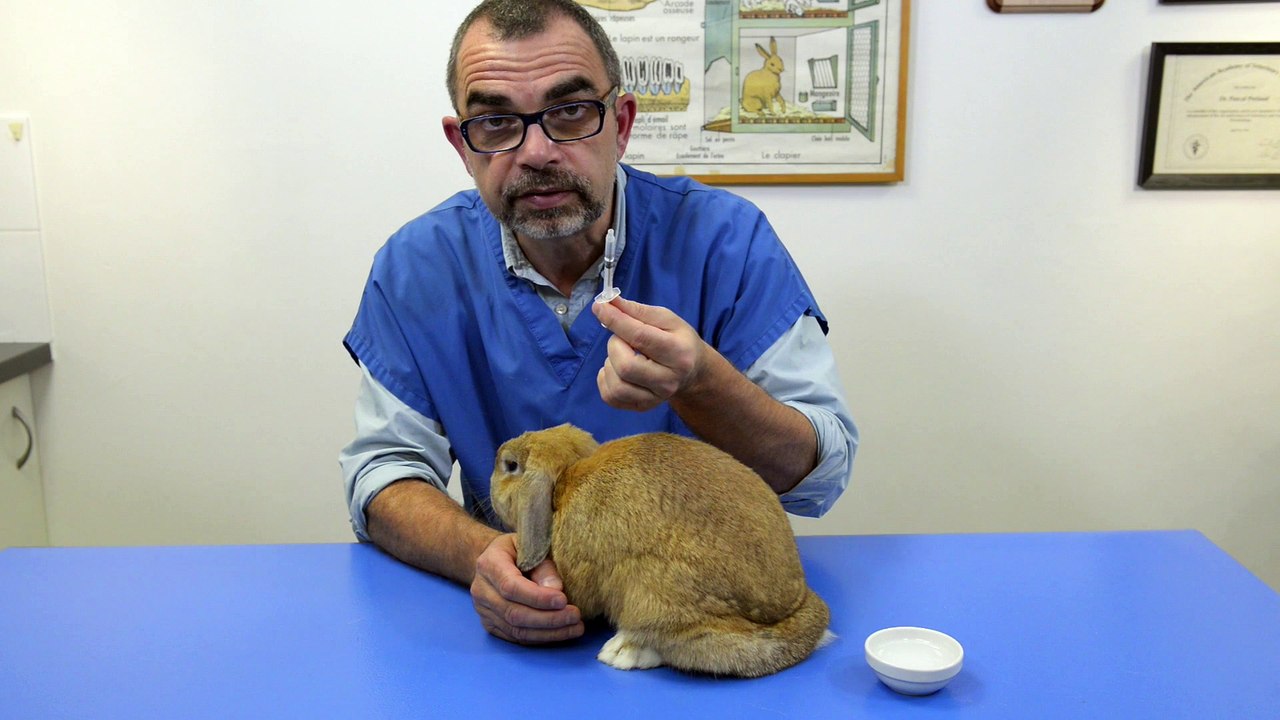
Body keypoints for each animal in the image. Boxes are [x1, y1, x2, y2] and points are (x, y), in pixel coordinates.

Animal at [490, 424, 831, 678]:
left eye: (511, 466)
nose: (491, 482)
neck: (566, 478)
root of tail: (786, 605)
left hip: (659, 599)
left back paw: (621, 652)